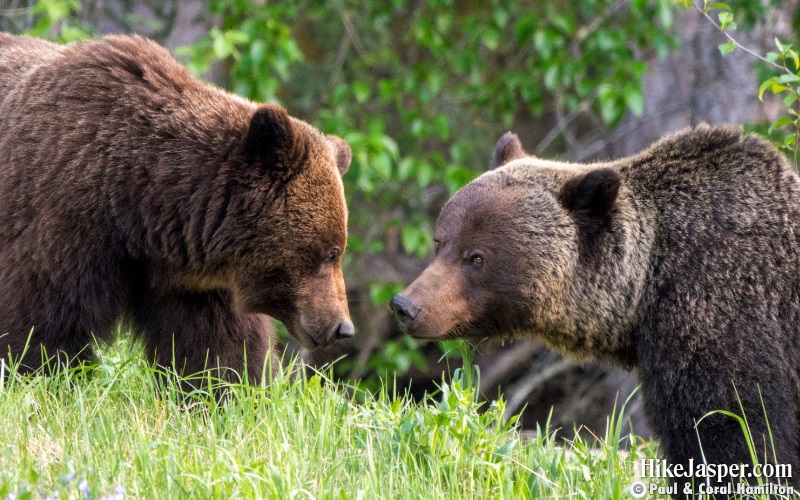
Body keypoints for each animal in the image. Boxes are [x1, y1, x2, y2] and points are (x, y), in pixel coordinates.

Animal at [0, 33, 354, 380]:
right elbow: (44, 318)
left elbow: (216, 344)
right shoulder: (66, 214)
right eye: (331, 252)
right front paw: (38, 372)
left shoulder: (191, 279)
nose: (343, 328)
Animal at [392, 126, 800, 496]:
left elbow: (732, 431)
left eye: (476, 257)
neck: (646, 287)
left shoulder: (723, 313)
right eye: (440, 242)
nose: (405, 306)